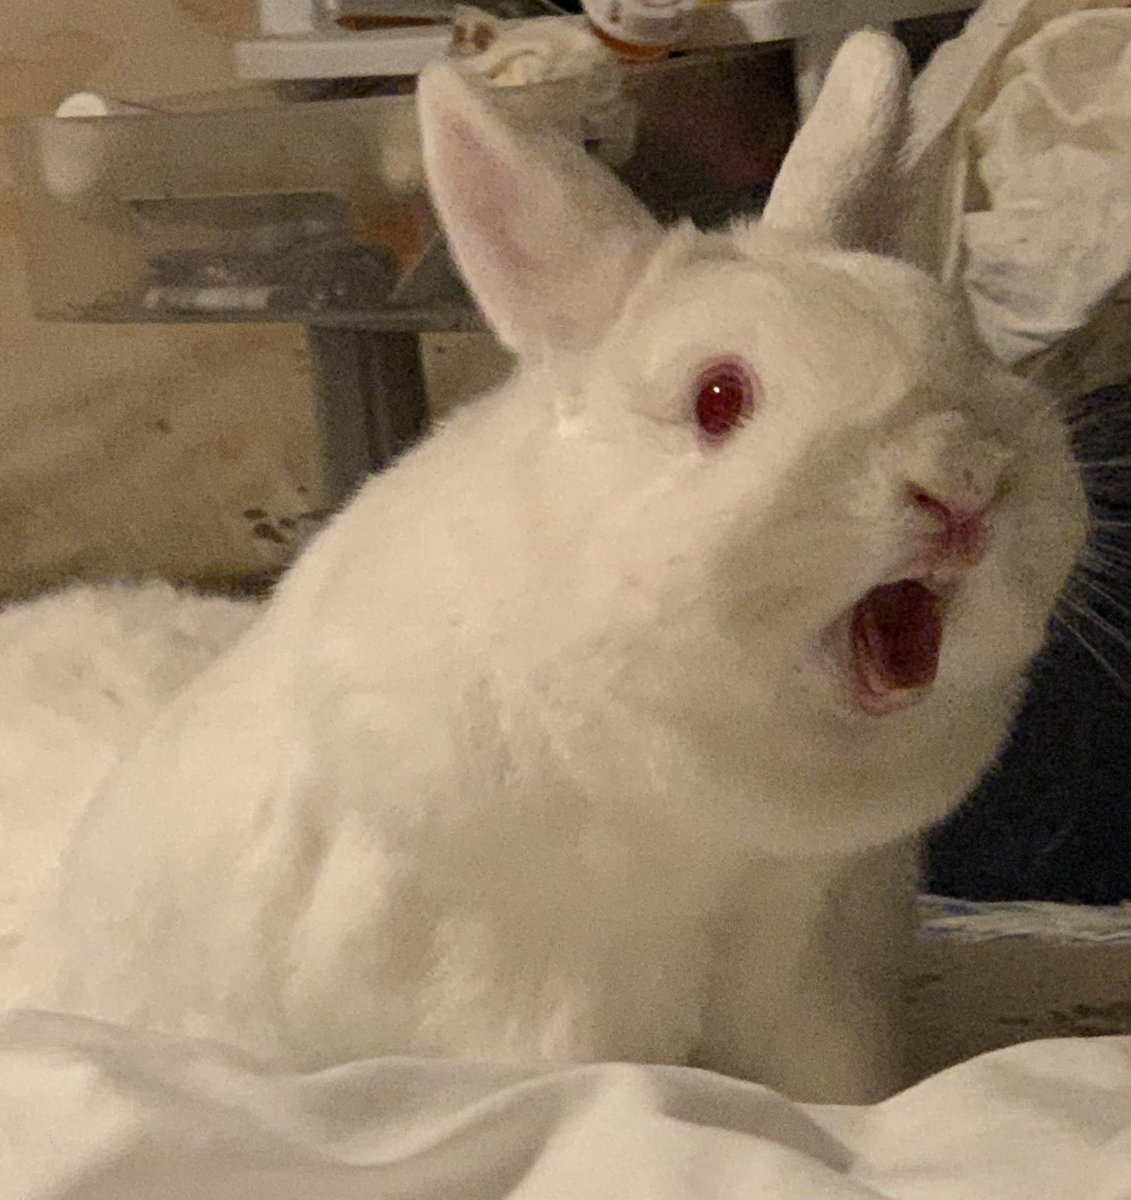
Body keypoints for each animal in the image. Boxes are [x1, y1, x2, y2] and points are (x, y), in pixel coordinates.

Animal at [4, 35, 1094, 1104]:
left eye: (957, 338)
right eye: (717, 398)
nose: (961, 480)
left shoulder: (814, 967)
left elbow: (834, 1087)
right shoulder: (516, 976)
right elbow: (582, 1075)